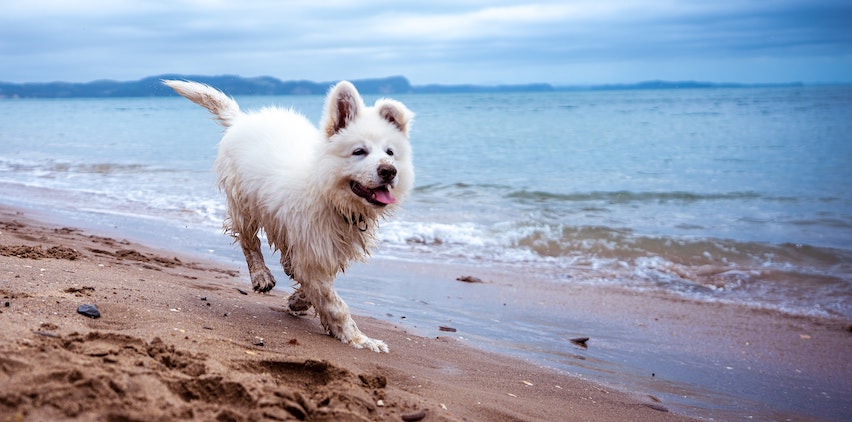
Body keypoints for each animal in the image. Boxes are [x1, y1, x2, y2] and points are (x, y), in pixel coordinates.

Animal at [162, 80, 412, 352]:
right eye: (359, 151)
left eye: (390, 152)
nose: (389, 171)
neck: (328, 193)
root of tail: (242, 119)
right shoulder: (313, 246)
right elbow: (335, 303)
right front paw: (360, 339)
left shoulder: (322, 248)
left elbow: (316, 286)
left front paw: (298, 300)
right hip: (243, 202)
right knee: (249, 241)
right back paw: (261, 275)